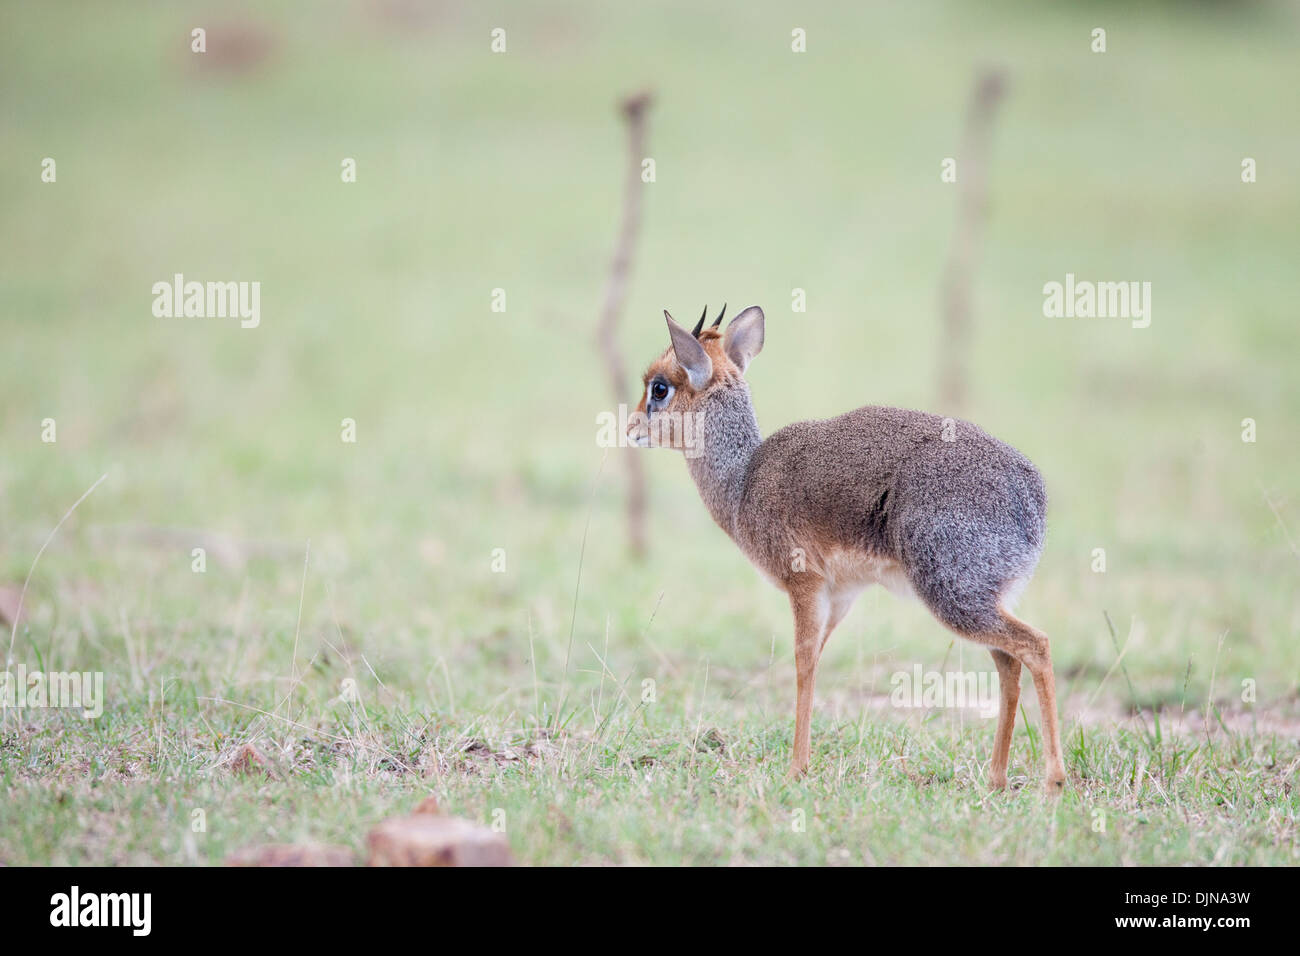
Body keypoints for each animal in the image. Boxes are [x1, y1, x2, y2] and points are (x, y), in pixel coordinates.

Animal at [626, 304, 1066, 790]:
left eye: (659, 386)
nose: (629, 427)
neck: (744, 482)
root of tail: (1032, 495)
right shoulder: (840, 596)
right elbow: (815, 660)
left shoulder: (803, 583)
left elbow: (803, 663)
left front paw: (796, 768)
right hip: (984, 597)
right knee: (1009, 663)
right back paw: (996, 778)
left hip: (954, 595)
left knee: (1036, 645)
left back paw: (1054, 779)